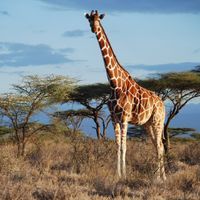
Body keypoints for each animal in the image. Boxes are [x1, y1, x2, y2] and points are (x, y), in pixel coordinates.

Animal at [84, 10, 166, 180]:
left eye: (98, 20)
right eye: (89, 20)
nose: (94, 29)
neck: (115, 84)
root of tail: (163, 104)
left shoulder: (124, 117)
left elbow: (124, 146)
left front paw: (125, 175)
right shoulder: (114, 118)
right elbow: (117, 146)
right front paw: (118, 175)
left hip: (158, 121)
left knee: (160, 146)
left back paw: (160, 178)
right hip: (148, 124)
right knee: (158, 146)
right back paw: (160, 177)